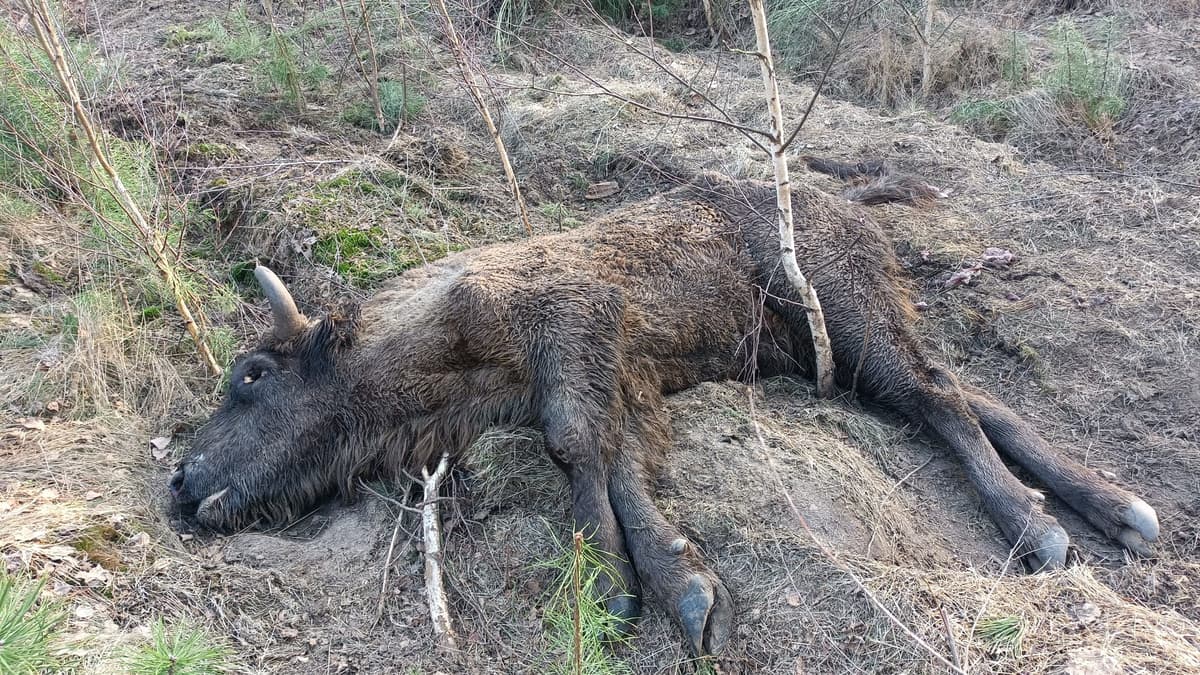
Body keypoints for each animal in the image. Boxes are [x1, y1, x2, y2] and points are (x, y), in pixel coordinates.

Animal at [169, 171, 1152, 653]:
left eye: (253, 373)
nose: (180, 479)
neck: (437, 339)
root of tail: (847, 201)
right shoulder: (617, 374)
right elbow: (612, 455)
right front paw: (667, 583)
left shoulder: (578, 333)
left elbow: (579, 447)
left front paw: (622, 586)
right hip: (822, 352)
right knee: (967, 394)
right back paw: (1118, 509)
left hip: (851, 318)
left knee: (943, 395)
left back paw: (1039, 529)